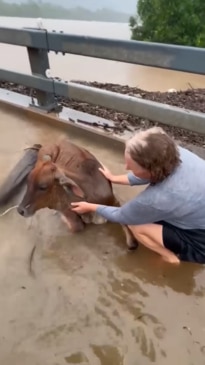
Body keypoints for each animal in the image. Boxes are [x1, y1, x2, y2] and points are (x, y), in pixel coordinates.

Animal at [0, 138, 138, 249]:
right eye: (28, 181)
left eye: (43, 187)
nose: (21, 210)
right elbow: (77, 225)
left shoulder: (115, 202)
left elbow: (131, 242)